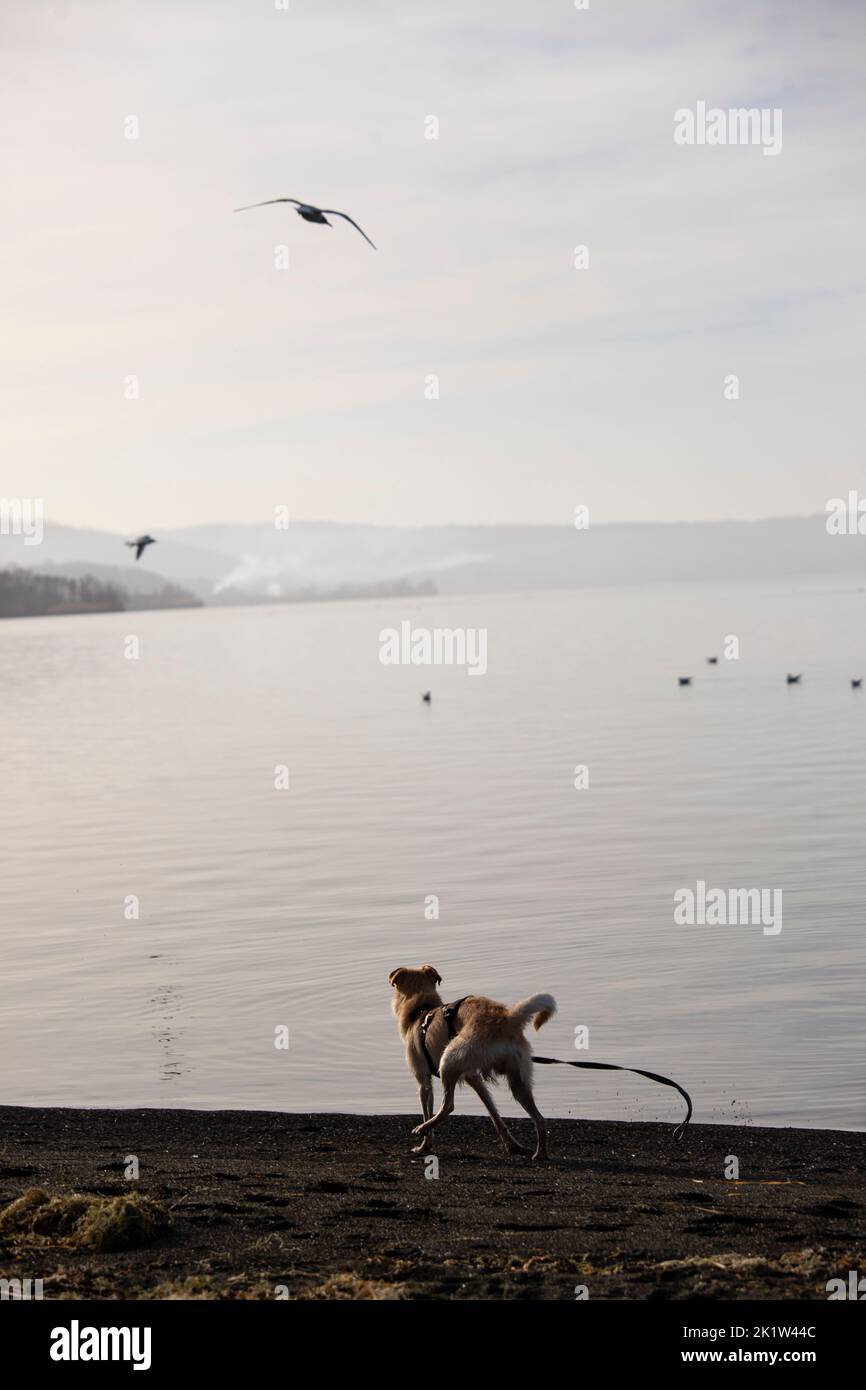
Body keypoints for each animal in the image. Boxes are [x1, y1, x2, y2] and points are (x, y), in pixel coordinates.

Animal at [389, 967, 558, 1162]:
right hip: (519, 1081)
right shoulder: (474, 1078)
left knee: (448, 1105)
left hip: (449, 1059)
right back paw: (540, 1153)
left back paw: (422, 1127)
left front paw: (424, 1147)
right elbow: (493, 1111)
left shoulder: (423, 1080)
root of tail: (507, 1019)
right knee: (539, 1119)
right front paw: (511, 1145)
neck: (422, 1010)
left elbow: (426, 1109)